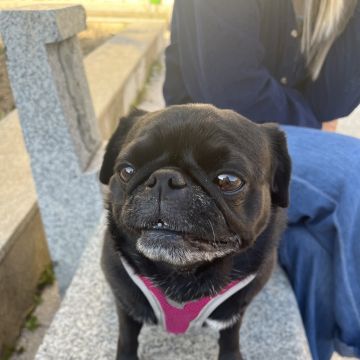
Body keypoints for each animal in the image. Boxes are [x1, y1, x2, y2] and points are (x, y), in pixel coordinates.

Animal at [100, 102, 292, 358]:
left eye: (228, 180)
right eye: (126, 171)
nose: (165, 178)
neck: (181, 273)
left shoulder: (234, 310)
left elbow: (230, 336)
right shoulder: (126, 304)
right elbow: (127, 338)